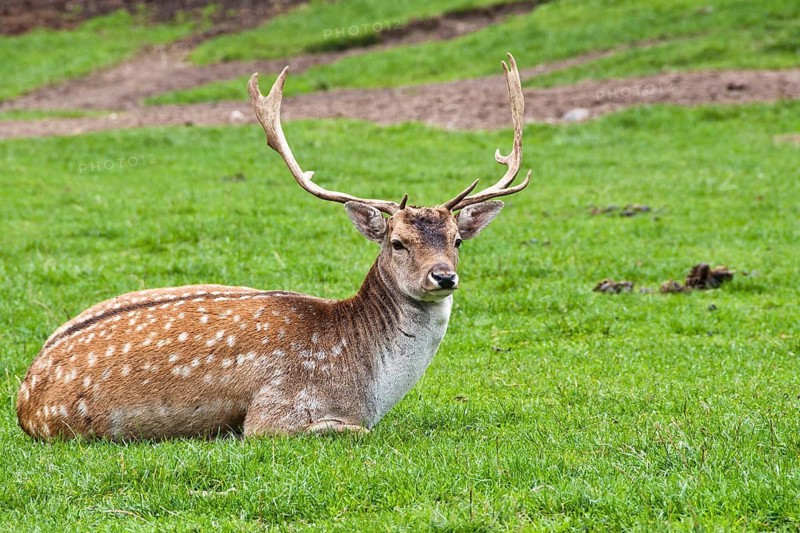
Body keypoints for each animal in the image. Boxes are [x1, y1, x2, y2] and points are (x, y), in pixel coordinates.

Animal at [16, 54, 530, 441]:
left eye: (457, 239)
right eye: (398, 243)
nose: (443, 275)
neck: (368, 391)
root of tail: (22, 398)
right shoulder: (274, 411)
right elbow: (352, 432)